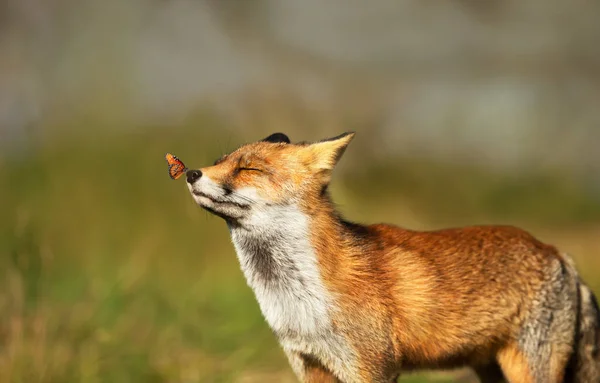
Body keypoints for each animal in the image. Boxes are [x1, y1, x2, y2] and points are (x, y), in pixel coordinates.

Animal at [185, 133, 596, 383]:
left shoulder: (371, 366)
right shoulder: (310, 363)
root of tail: (555, 252)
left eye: (248, 169)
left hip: (528, 368)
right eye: (221, 161)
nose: (190, 172)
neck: (299, 298)